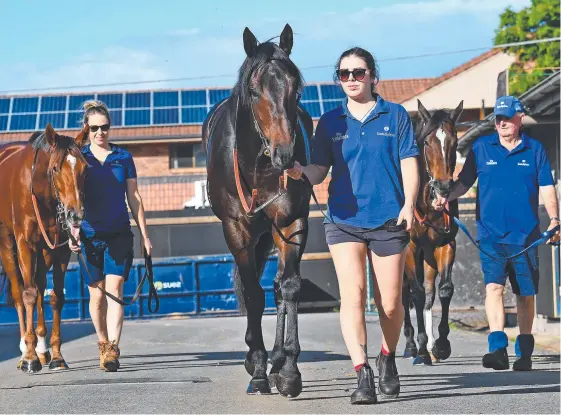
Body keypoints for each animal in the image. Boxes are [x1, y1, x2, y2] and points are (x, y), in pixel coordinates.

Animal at [0, 123, 88, 374]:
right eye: (56, 168)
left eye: (84, 168)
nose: (75, 215)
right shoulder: (25, 244)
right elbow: (28, 294)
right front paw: (29, 357)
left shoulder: (60, 250)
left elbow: (56, 296)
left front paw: (56, 355)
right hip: (8, 245)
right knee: (20, 292)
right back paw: (25, 350)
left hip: (45, 251)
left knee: (40, 286)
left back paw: (42, 347)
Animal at [202, 23, 316, 400]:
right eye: (254, 91)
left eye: (297, 89)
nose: (286, 154)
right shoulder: (237, 230)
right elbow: (253, 294)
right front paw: (258, 369)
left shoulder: (292, 222)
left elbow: (290, 287)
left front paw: (289, 370)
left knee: (280, 288)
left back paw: (279, 363)